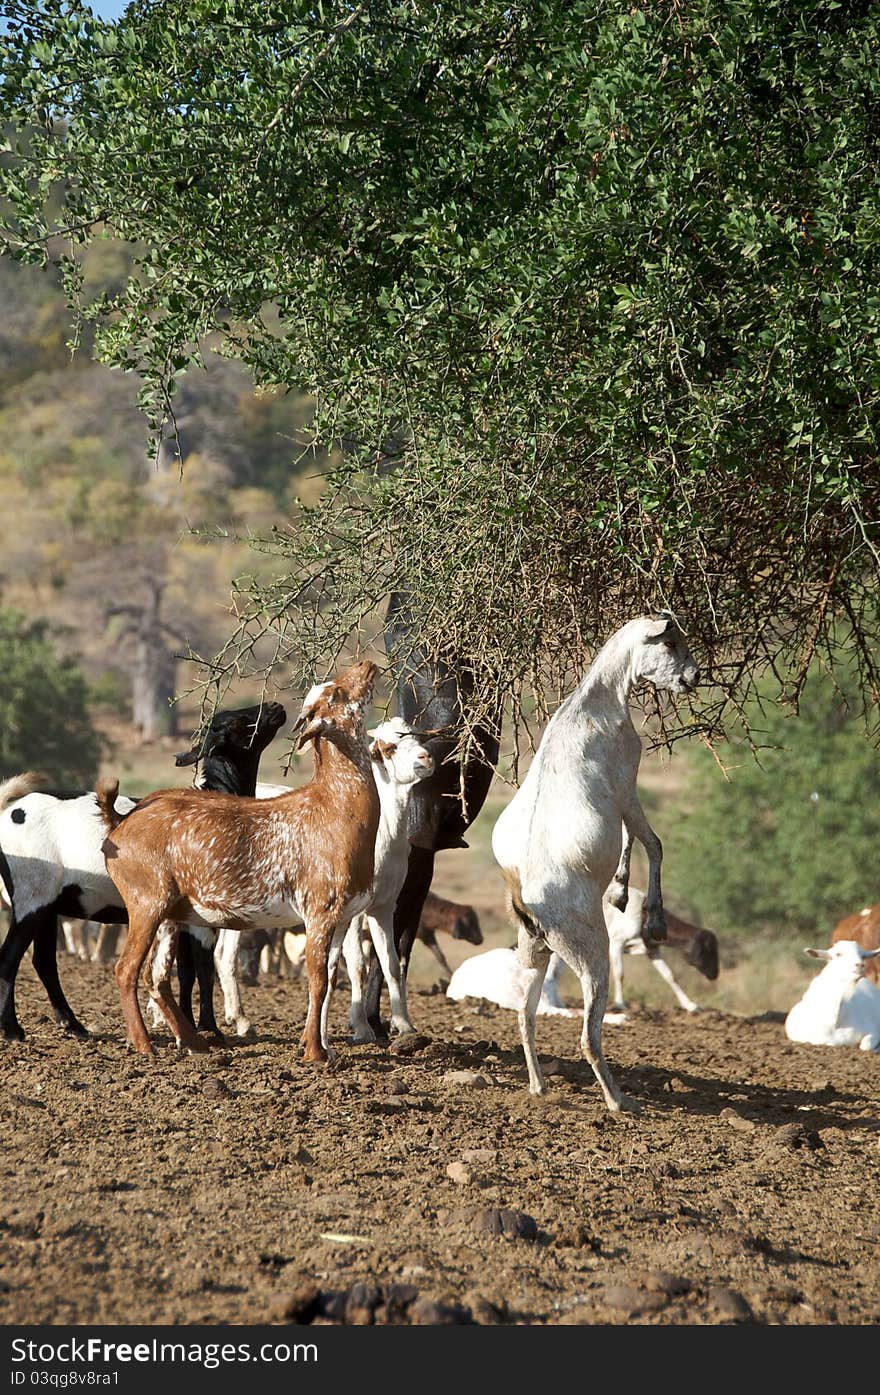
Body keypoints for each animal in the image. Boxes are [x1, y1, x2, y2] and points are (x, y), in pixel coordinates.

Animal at [0, 703, 285, 1043]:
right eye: (239, 721)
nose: (276, 707)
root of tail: (10, 812)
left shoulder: (185, 918)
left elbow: (186, 972)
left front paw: (189, 1027)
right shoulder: (201, 917)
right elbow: (202, 970)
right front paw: (210, 1030)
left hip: (49, 906)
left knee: (43, 961)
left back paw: (74, 1025)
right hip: (31, 899)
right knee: (9, 958)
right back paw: (13, 1030)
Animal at [96, 661, 379, 1054]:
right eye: (334, 692)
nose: (367, 666)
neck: (336, 806)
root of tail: (120, 821)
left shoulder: (342, 917)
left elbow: (330, 982)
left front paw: (323, 1047)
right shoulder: (319, 911)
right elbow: (318, 980)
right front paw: (314, 1053)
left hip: (170, 915)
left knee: (158, 976)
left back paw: (194, 1043)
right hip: (146, 904)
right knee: (126, 970)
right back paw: (145, 1045)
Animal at [488, 616, 702, 1116]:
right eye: (670, 641)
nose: (694, 675)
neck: (595, 700)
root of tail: (527, 903)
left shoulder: (620, 797)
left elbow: (631, 840)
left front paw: (621, 889)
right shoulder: (626, 782)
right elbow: (652, 843)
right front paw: (649, 914)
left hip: (535, 953)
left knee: (525, 1015)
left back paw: (539, 1086)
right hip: (592, 953)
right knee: (587, 1035)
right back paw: (619, 1100)